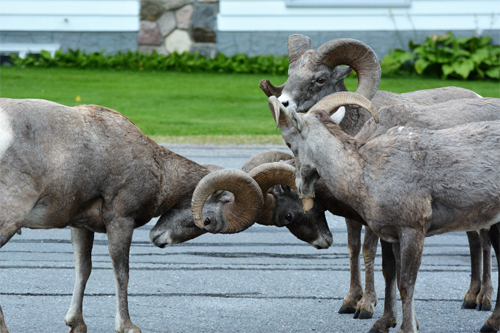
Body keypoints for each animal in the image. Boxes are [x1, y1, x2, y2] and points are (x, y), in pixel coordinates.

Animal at [0, 98, 266, 332]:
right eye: (207, 222)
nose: (158, 239)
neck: (158, 168)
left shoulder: (80, 226)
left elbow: (83, 269)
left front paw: (76, 324)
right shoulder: (121, 221)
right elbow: (122, 273)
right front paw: (127, 326)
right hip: (9, 220)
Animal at [262, 33, 492, 316]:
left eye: (320, 79)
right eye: (290, 74)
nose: (283, 104)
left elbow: (369, 250)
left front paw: (366, 306)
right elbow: (353, 247)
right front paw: (349, 302)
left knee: (485, 242)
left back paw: (483, 299)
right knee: (474, 240)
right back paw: (470, 297)